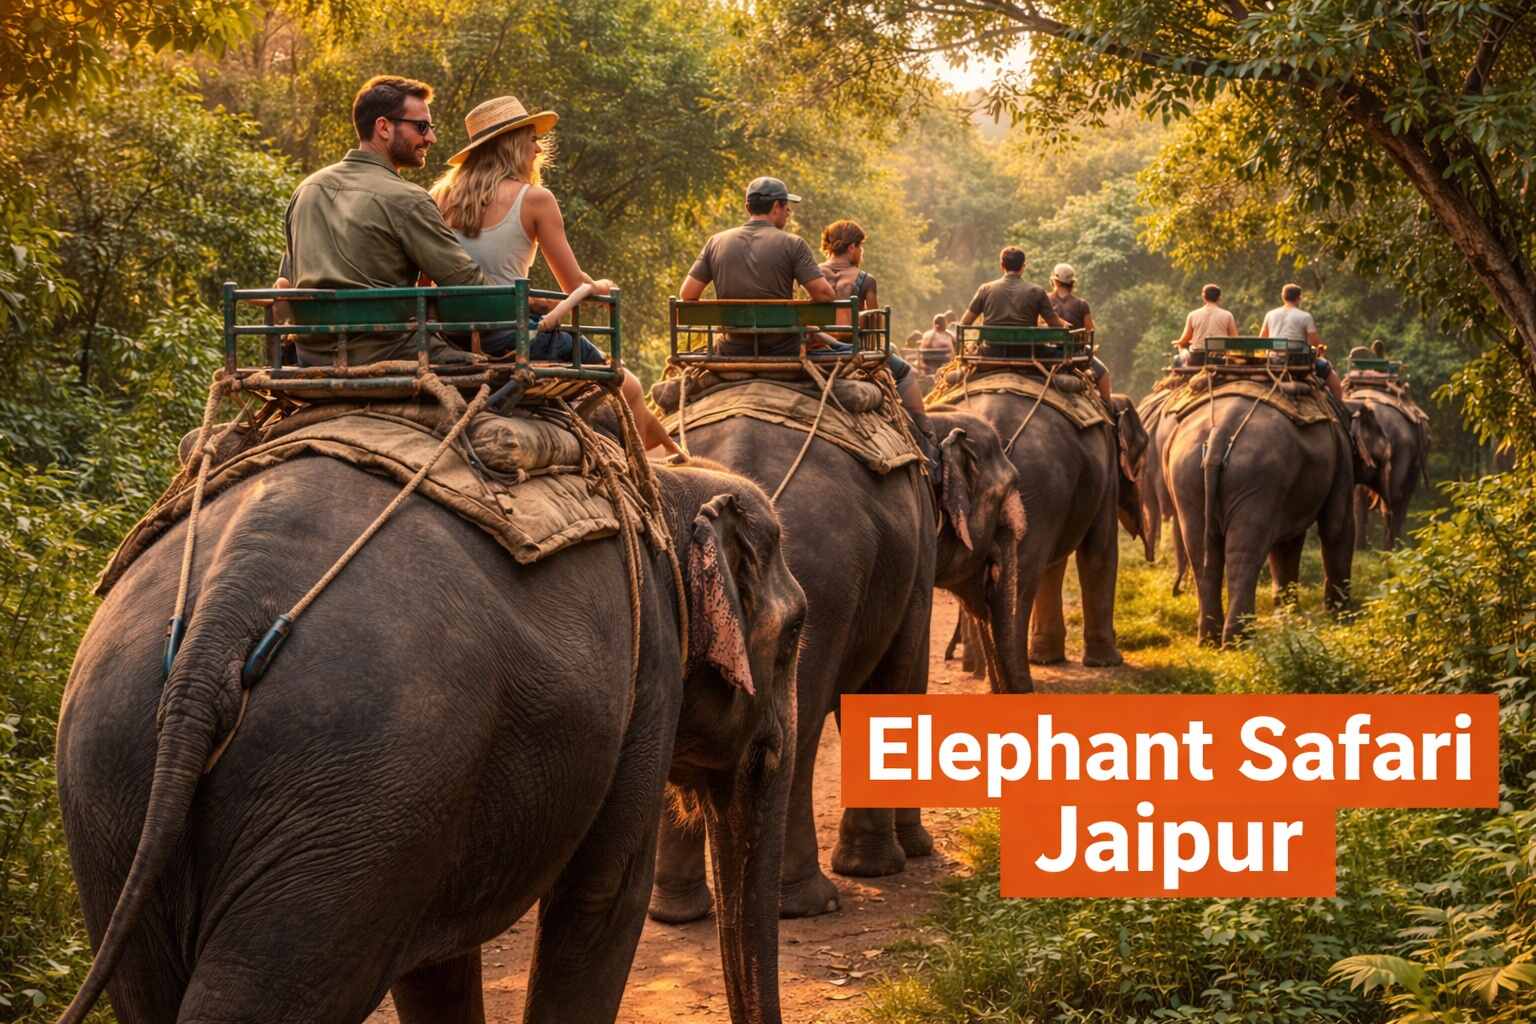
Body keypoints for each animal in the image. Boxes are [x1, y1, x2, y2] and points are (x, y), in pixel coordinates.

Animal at [54, 454, 805, 1024]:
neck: (666, 482)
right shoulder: (646, 679)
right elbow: (601, 897)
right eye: (797, 631)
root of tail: (219, 620)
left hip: (114, 782)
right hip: (354, 783)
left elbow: (434, 961)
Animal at [649, 399, 1020, 922]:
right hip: (824, 584)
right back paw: (810, 902)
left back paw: (677, 911)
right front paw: (891, 861)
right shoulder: (916, 562)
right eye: (1005, 494)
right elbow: (900, 679)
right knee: (801, 732)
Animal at [1165, 390, 1386, 645]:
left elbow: (1286, 543)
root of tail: (1219, 433)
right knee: (1246, 552)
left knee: (1201, 552)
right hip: (1257, 477)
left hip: (1186, 476)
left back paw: (1210, 640)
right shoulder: (1341, 460)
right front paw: (1341, 616)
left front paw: (1289, 615)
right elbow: (1337, 528)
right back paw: (1239, 640)